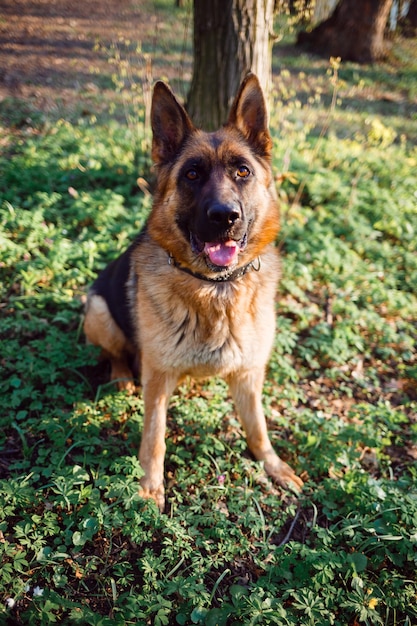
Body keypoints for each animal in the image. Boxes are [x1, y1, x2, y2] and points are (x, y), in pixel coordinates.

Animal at [83, 74, 302, 508]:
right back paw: (122, 377)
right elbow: (154, 437)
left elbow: (258, 427)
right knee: (116, 353)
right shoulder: (159, 380)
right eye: (192, 174)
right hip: (98, 311)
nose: (225, 216)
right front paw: (150, 487)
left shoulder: (249, 376)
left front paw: (273, 466)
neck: (215, 290)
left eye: (242, 171)